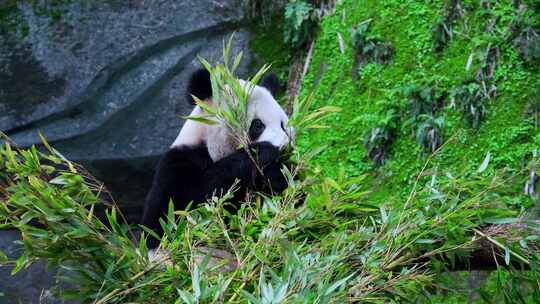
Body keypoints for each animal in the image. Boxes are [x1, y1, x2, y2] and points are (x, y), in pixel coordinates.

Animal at [141, 68, 294, 249]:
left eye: (283, 125)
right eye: (258, 125)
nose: (284, 148)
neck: (209, 145)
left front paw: (280, 174)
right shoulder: (178, 163)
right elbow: (185, 211)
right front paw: (264, 152)